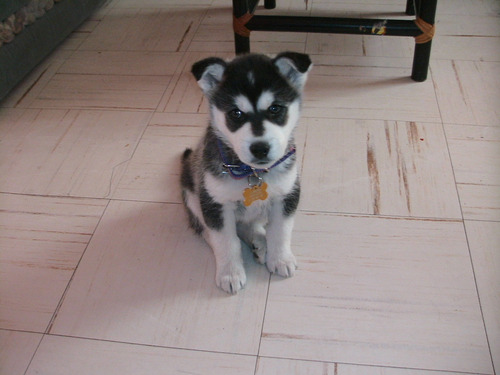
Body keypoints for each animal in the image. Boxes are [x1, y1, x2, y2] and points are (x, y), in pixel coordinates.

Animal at [182, 51, 310, 296]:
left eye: (275, 108)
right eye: (236, 113)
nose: (260, 148)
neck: (252, 172)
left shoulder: (287, 192)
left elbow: (281, 230)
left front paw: (280, 258)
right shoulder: (215, 202)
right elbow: (225, 241)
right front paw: (230, 273)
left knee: (251, 224)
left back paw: (260, 242)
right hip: (192, 194)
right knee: (207, 230)